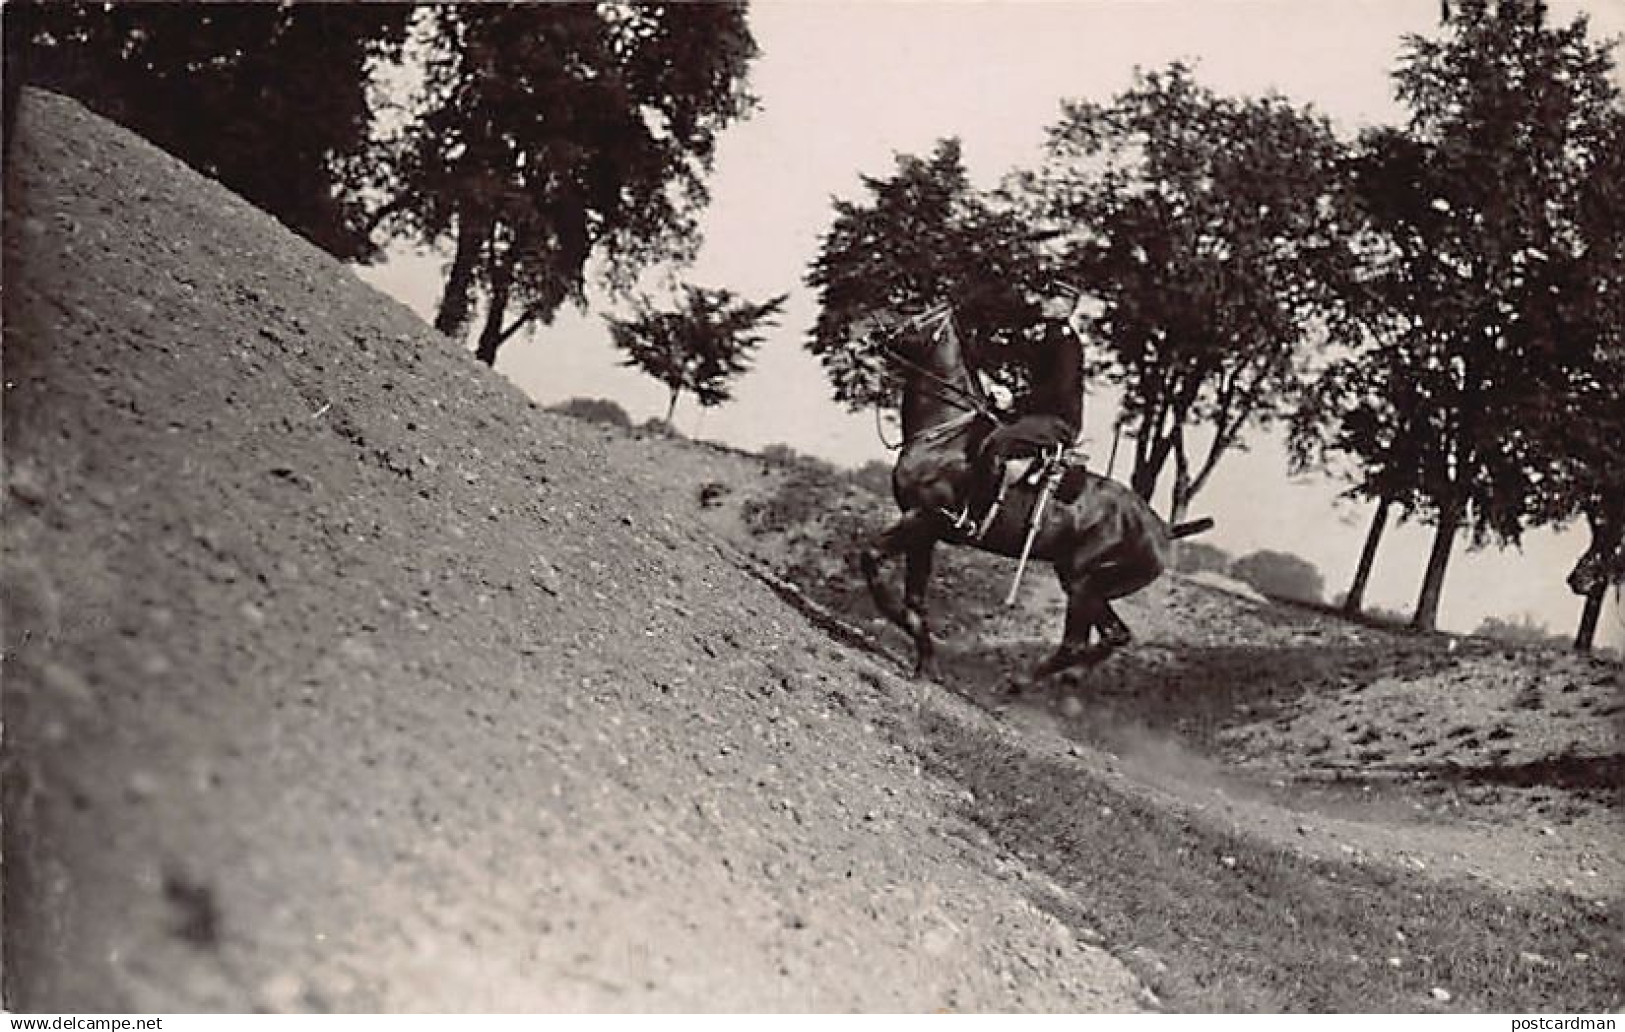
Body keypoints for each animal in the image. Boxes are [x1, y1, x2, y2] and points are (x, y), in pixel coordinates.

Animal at [858, 302, 1215, 682]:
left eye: (919, 317)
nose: (872, 325)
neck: (943, 438)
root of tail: (1161, 529)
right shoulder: (924, 531)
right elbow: (915, 600)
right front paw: (925, 661)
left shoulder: (922, 518)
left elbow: (872, 559)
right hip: (1086, 585)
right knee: (1114, 635)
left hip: (1082, 583)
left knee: (1078, 642)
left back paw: (1023, 681)